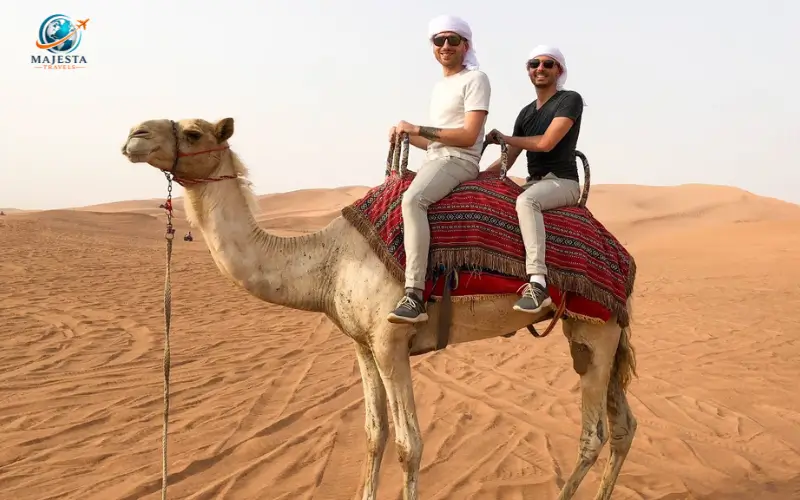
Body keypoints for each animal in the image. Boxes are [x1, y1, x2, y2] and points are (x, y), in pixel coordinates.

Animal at [121, 116, 638, 500]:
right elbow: (375, 434)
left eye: (194, 132)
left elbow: (411, 444)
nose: (134, 135)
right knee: (623, 426)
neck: (327, 260)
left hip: (595, 331)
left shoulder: (392, 339)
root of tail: (619, 252)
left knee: (594, 434)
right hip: (593, 331)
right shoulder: (363, 344)